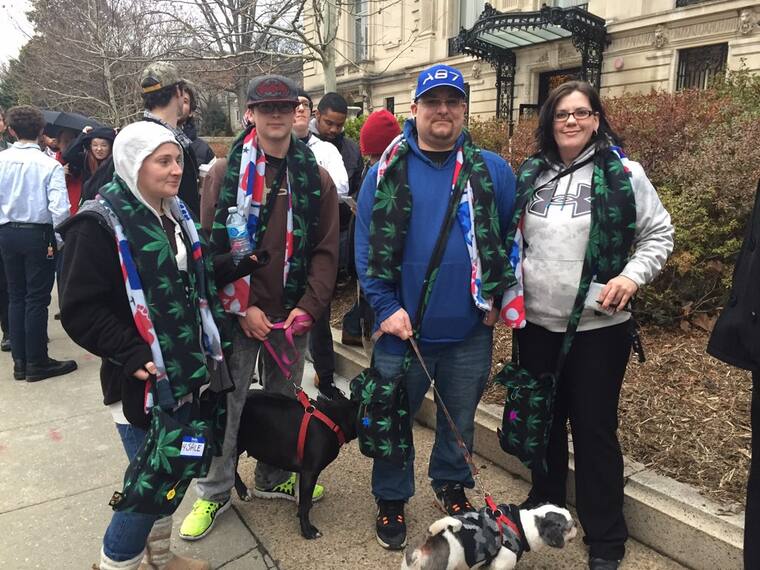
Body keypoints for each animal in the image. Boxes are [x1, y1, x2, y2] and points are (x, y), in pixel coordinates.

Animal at [234, 389, 358, 539]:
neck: (335, 418)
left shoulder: (304, 468)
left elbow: (302, 494)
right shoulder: (310, 472)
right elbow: (304, 505)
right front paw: (307, 530)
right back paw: (242, 492)